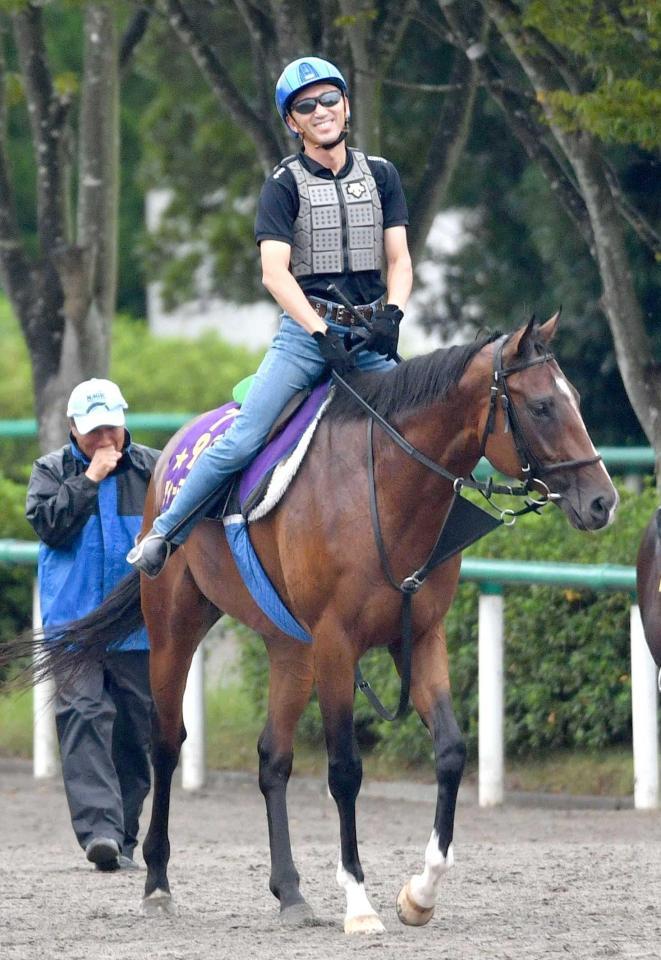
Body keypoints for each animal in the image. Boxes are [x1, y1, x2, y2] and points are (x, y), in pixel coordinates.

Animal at [3, 314, 620, 928]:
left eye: (575, 397)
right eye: (541, 406)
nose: (603, 502)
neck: (383, 485)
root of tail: (173, 451)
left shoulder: (420, 636)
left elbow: (450, 751)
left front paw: (419, 894)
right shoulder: (336, 645)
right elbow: (345, 769)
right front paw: (359, 901)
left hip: (289, 649)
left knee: (272, 758)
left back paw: (290, 892)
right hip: (176, 626)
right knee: (166, 743)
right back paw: (156, 881)